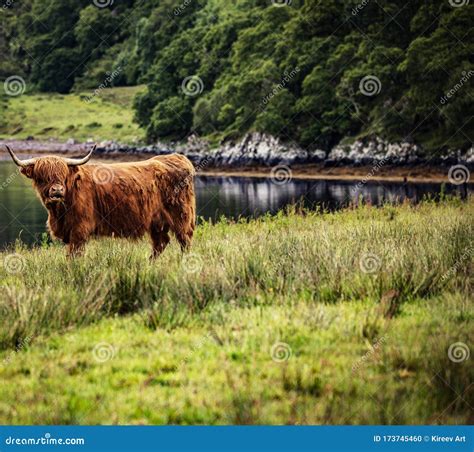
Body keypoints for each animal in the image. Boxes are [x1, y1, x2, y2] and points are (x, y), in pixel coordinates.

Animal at [5, 146, 194, 258]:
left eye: (63, 174)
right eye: (42, 176)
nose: (57, 191)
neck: (58, 212)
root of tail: (177, 157)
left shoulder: (80, 229)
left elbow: (74, 255)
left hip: (182, 216)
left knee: (185, 241)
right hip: (156, 222)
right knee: (160, 243)